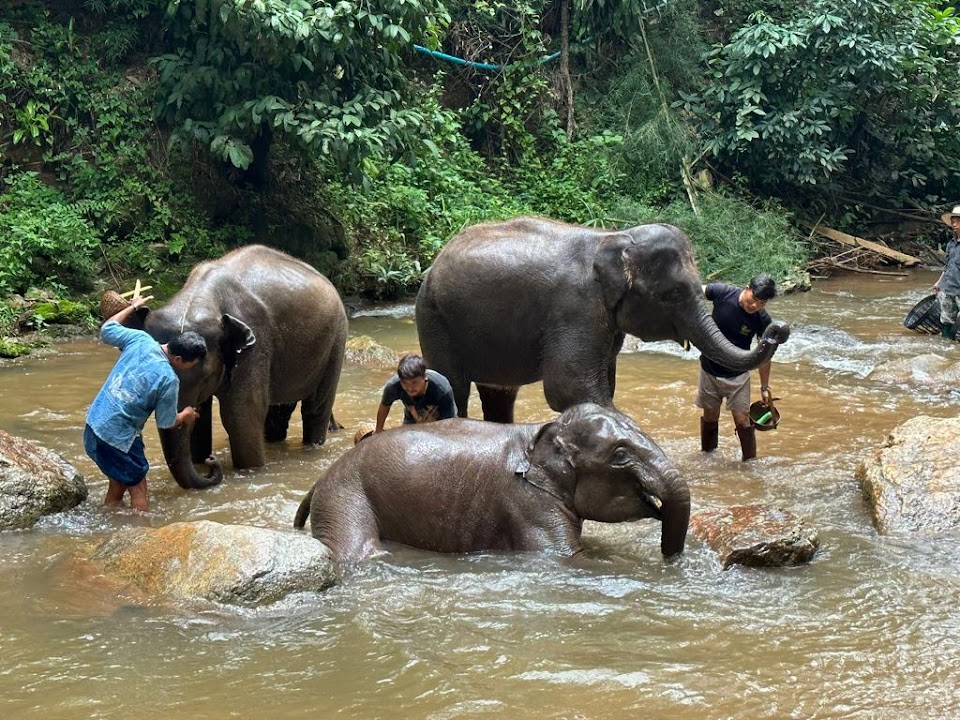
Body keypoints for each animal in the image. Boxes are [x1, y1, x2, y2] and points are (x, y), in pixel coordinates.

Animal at [123, 245, 347, 489]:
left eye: (205, 377)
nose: (211, 462)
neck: (198, 299)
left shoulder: (255, 343)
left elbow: (241, 414)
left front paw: (250, 472)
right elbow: (206, 421)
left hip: (336, 339)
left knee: (316, 407)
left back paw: (312, 447)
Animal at [293, 403, 690, 564]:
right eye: (620, 454)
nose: (668, 559)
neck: (542, 430)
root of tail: (319, 480)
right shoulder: (527, 504)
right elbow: (565, 558)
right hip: (345, 497)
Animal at [415, 216, 790, 422]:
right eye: (671, 295)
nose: (778, 328)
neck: (614, 237)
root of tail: (433, 263)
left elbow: (601, 387)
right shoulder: (575, 308)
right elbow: (570, 388)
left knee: (499, 395)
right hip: (434, 318)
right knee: (453, 385)